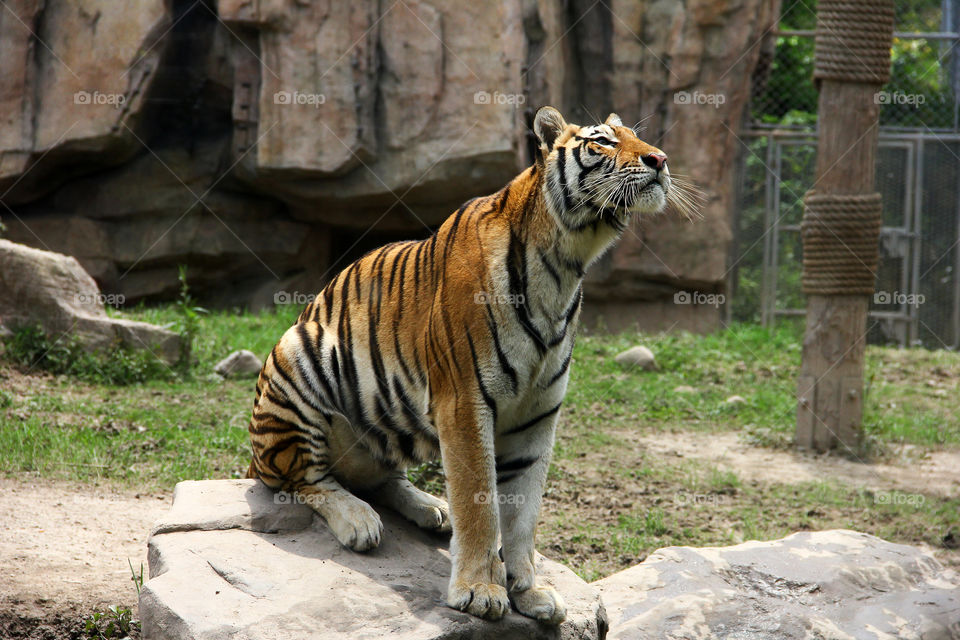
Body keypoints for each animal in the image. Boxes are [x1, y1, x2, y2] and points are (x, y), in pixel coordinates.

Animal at [242, 107, 688, 624]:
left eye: (637, 137)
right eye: (604, 142)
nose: (660, 159)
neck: (565, 263)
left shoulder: (537, 416)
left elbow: (523, 515)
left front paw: (530, 591)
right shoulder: (464, 402)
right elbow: (480, 503)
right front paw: (479, 591)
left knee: (380, 476)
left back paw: (431, 509)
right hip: (297, 357)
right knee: (300, 478)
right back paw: (359, 522)